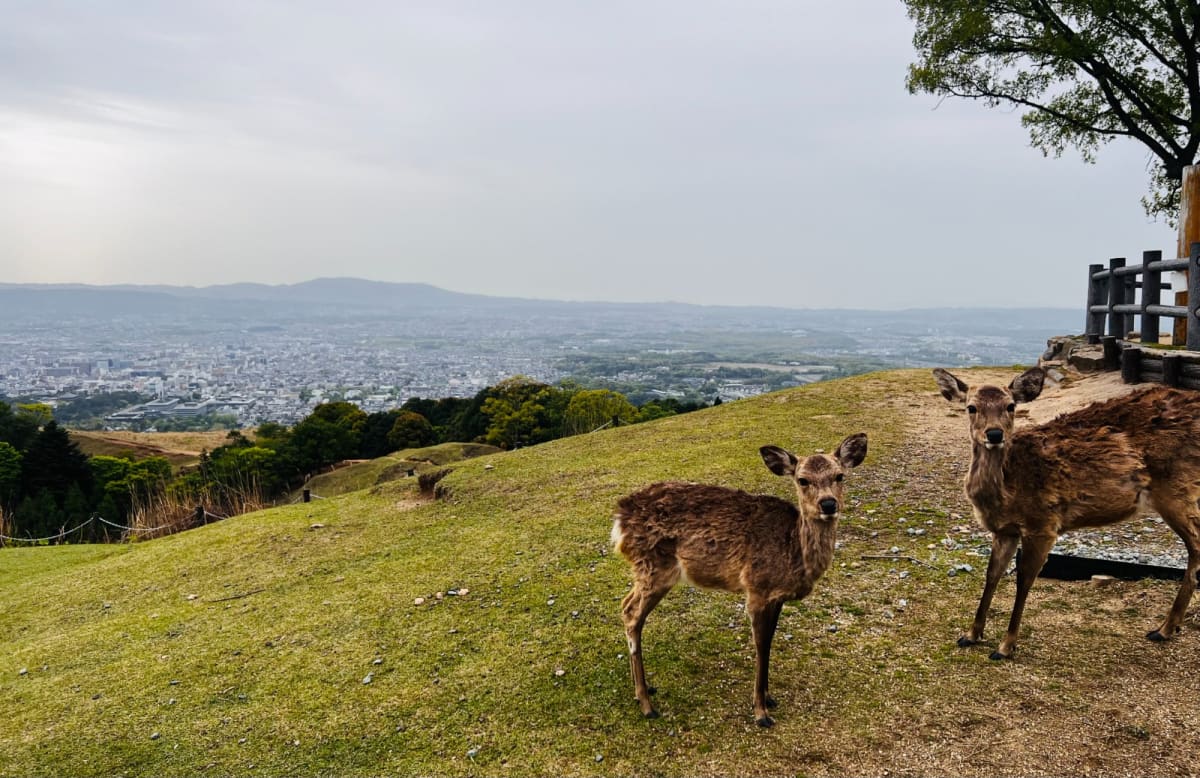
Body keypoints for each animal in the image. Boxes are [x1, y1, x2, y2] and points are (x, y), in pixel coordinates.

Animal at [614, 434, 868, 725]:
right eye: (802, 480)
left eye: (840, 476)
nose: (828, 504)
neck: (792, 550)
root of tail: (619, 518)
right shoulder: (756, 587)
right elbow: (761, 645)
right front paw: (761, 712)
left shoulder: (777, 596)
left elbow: (770, 639)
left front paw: (769, 698)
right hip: (655, 567)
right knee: (632, 613)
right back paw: (647, 704)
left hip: (647, 570)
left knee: (625, 604)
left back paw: (642, 692)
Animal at [936, 367, 1200, 657]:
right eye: (971, 407)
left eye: (1011, 406)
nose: (994, 434)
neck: (1007, 491)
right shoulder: (1004, 530)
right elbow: (992, 574)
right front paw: (971, 635)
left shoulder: (1043, 524)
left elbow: (1024, 579)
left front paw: (1005, 646)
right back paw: (1169, 627)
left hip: (1177, 489)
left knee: (1196, 546)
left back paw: (1165, 628)